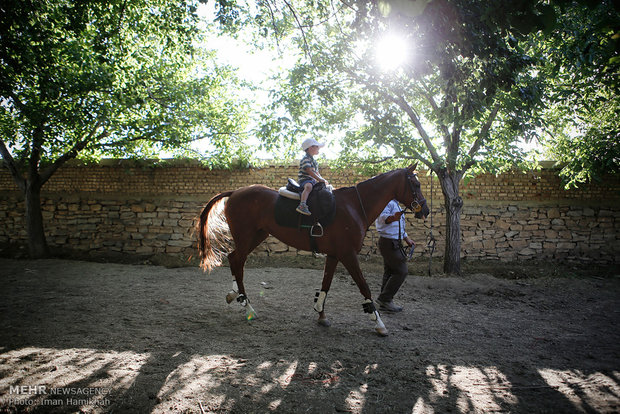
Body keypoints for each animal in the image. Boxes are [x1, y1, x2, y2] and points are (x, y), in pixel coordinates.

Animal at [196, 163, 428, 334]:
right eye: (415, 184)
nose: (424, 209)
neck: (354, 206)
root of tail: (235, 191)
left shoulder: (335, 255)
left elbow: (326, 284)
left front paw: (321, 313)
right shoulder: (348, 255)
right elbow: (364, 287)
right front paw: (378, 322)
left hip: (257, 235)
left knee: (235, 259)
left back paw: (235, 294)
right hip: (246, 237)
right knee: (237, 261)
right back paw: (247, 305)